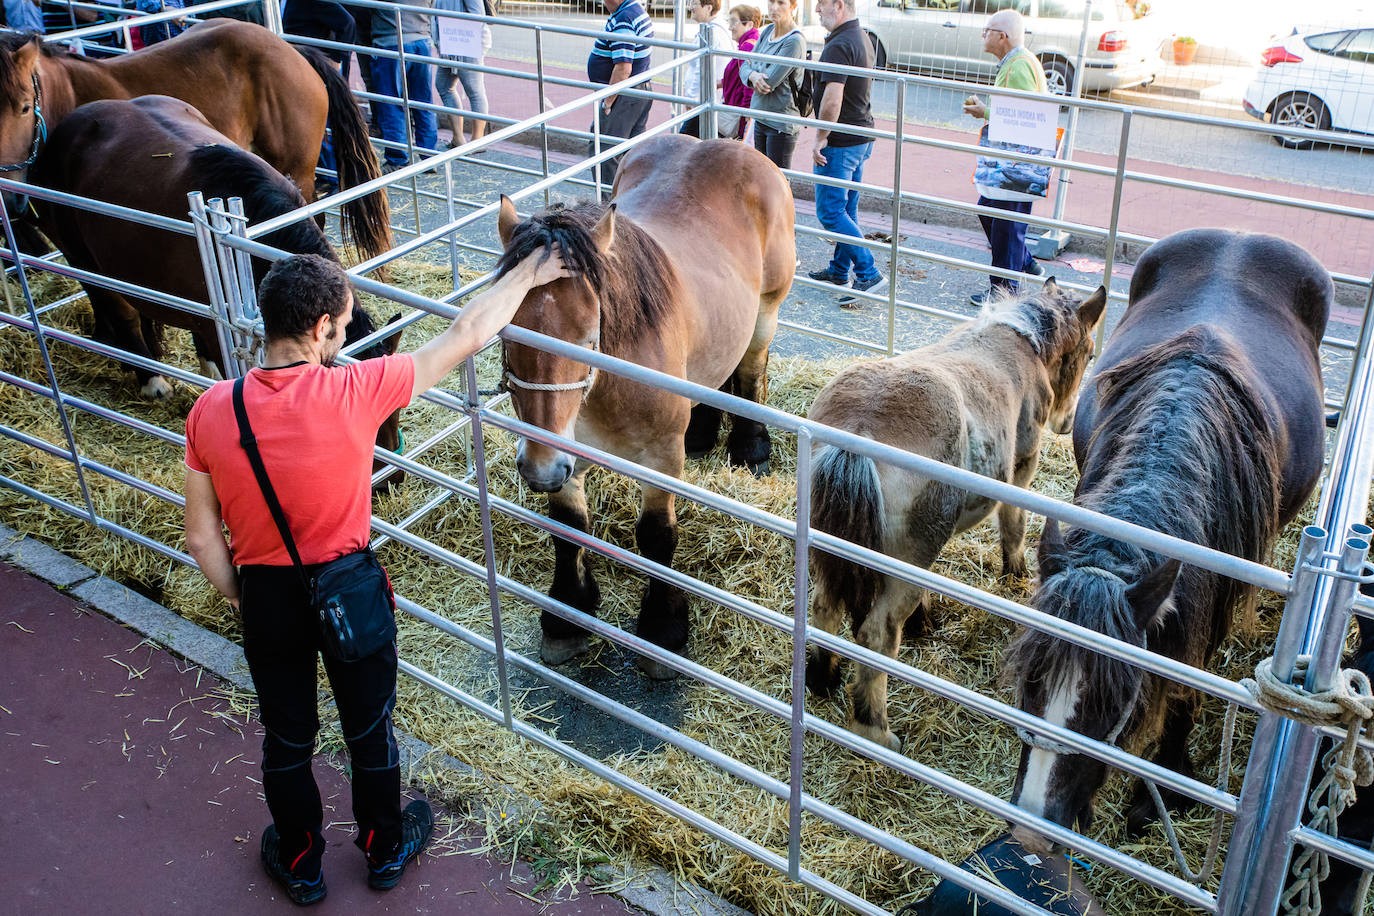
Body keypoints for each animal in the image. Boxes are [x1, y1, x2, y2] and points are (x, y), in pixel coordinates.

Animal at [494, 135, 796, 681]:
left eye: (589, 338)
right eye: (506, 334)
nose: (540, 470)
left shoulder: (658, 456)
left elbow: (656, 538)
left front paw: (662, 630)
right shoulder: (566, 450)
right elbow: (568, 528)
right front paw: (567, 616)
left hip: (767, 308)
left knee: (749, 371)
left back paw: (750, 447)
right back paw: (703, 432)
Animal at [1011, 233, 1330, 851]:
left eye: (1112, 702)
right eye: (1028, 681)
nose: (1033, 833)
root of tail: (1240, 235)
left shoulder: (1210, 609)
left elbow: (1185, 689)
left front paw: (1155, 795)